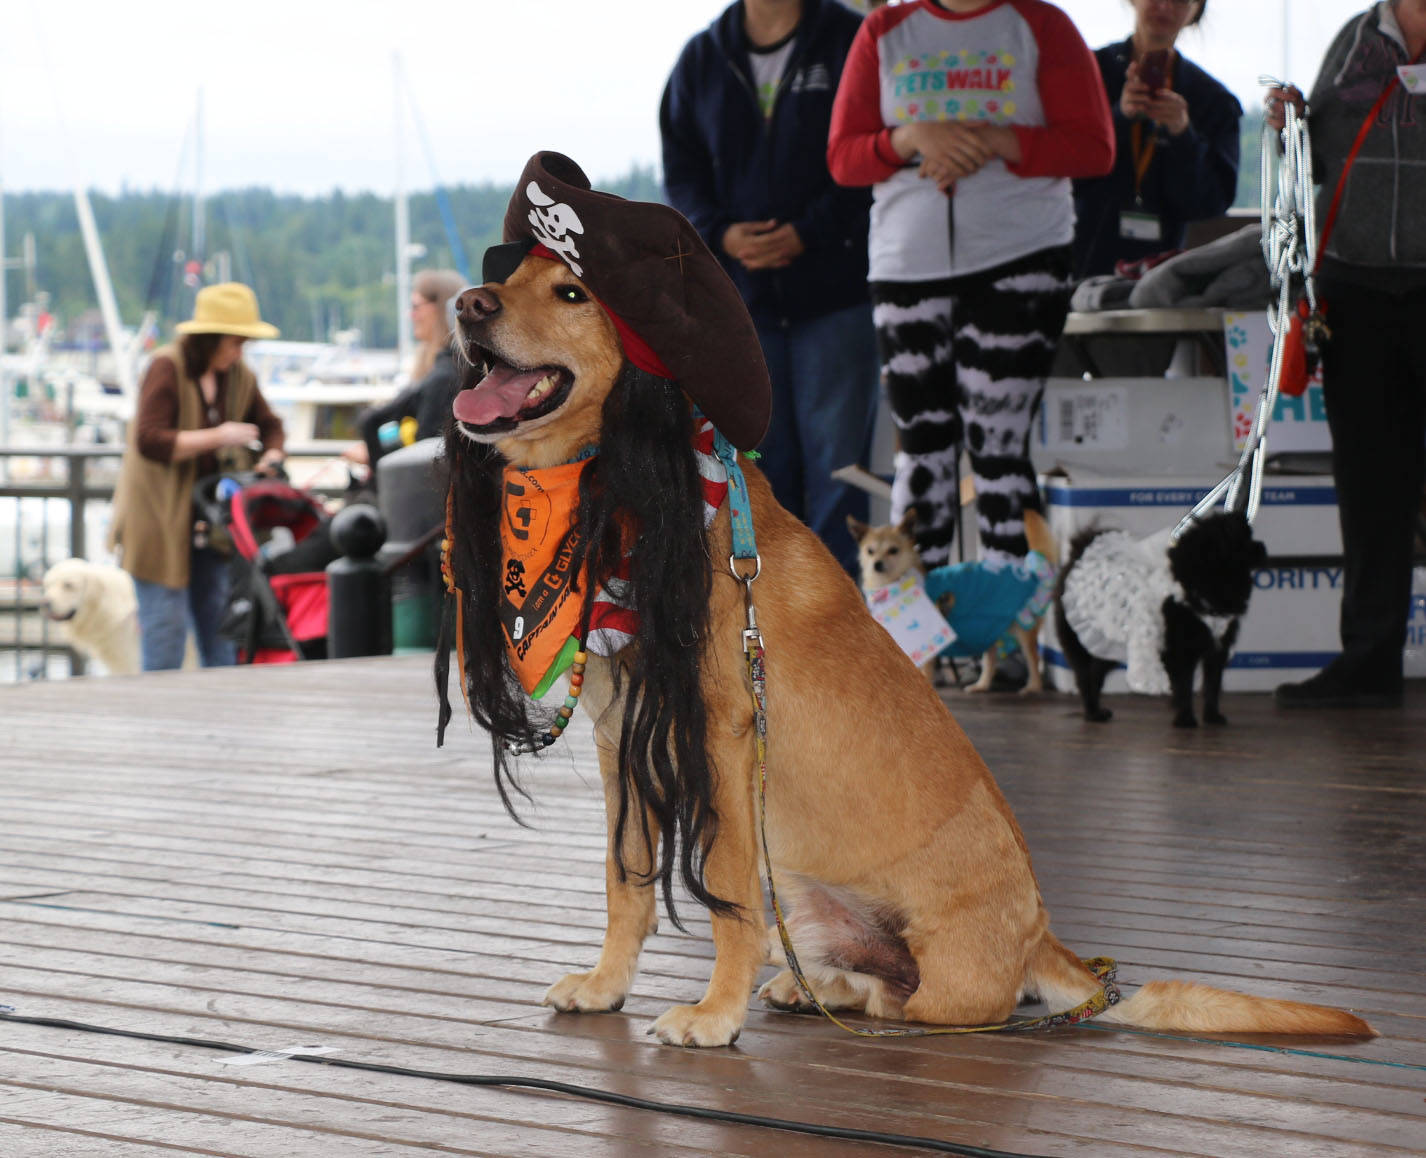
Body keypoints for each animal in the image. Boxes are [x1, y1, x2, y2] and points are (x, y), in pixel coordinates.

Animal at [1055, 513, 1266, 727]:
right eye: (1241, 542)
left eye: (1249, 536)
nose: (1262, 546)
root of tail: (1078, 555)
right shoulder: (1180, 652)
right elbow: (1184, 686)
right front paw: (1185, 719)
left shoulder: (1216, 649)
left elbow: (1212, 686)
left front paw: (1212, 716)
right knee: (1086, 678)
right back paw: (1092, 712)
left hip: (1107, 646)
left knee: (1095, 674)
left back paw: (1097, 711)